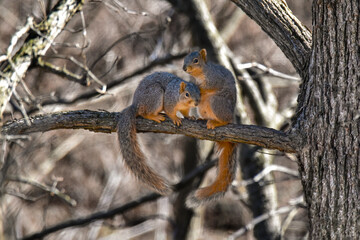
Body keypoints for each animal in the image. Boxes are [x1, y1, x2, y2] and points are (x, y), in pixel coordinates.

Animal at [183, 47, 236, 207]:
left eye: (196, 60)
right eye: (184, 58)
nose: (184, 68)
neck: (200, 74)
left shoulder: (215, 78)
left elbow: (209, 86)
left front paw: (199, 87)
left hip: (216, 102)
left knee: (226, 120)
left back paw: (217, 122)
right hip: (201, 106)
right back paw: (203, 119)